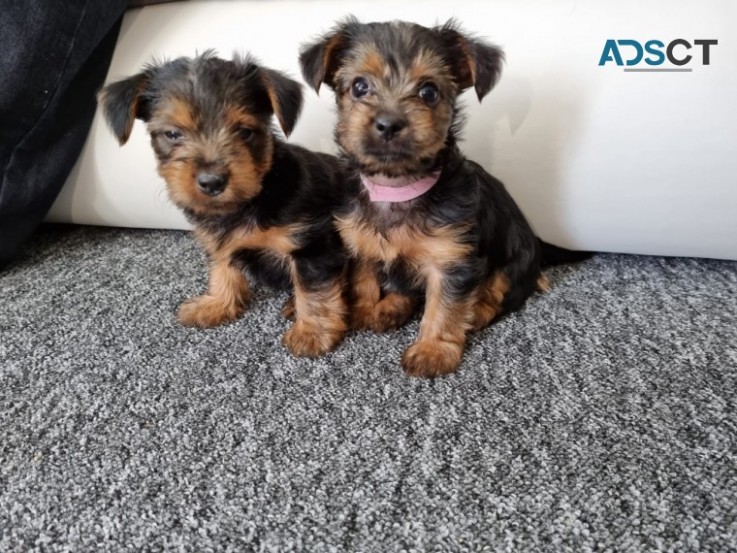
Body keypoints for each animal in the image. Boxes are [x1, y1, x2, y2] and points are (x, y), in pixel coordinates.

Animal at [98, 52, 348, 358]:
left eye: (244, 131)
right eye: (172, 134)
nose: (212, 182)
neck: (254, 196)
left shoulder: (313, 244)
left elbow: (313, 290)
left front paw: (312, 332)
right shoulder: (220, 242)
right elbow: (222, 270)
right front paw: (217, 303)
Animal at [300, 20, 588, 376]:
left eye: (429, 92)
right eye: (359, 87)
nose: (389, 124)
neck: (397, 186)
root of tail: (536, 240)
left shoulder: (452, 260)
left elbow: (444, 306)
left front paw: (433, 350)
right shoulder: (359, 241)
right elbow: (365, 277)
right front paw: (366, 309)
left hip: (515, 259)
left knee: (503, 292)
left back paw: (476, 312)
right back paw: (391, 308)